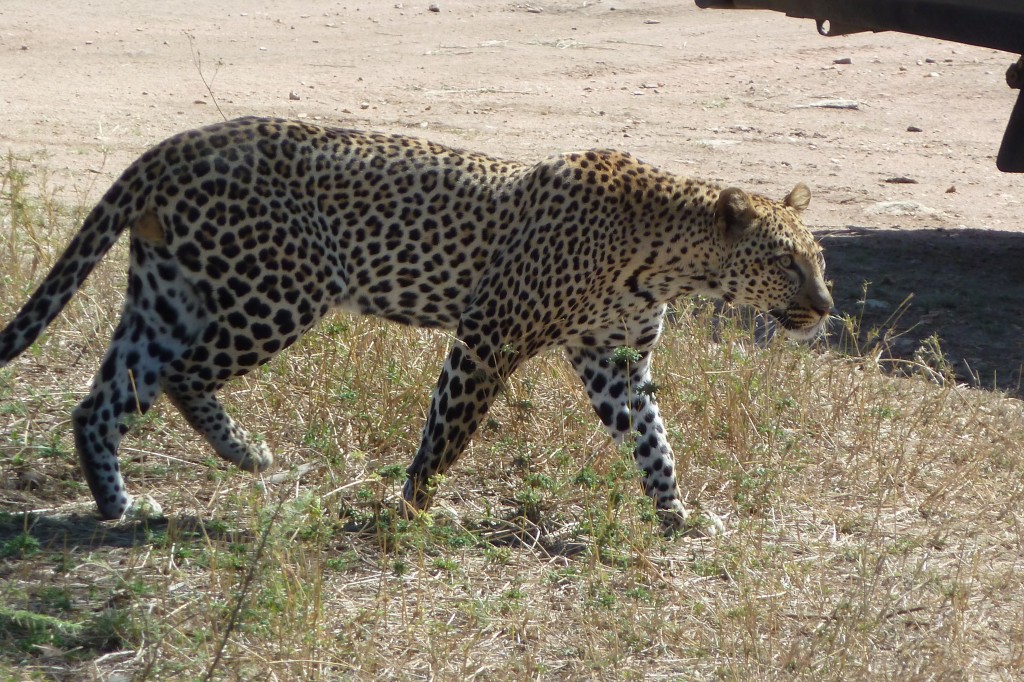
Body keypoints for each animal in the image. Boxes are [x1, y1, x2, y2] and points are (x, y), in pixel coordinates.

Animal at [0, 116, 831, 528]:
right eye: (787, 261)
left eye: (819, 258)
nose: (825, 308)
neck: (670, 256)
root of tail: (176, 144)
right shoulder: (489, 335)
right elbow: (448, 431)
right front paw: (416, 510)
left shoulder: (614, 362)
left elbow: (654, 444)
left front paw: (679, 516)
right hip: (277, 292)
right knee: (181, 375)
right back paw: (244, 454)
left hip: (172, 291)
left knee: (104, 398)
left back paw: (120, 507)